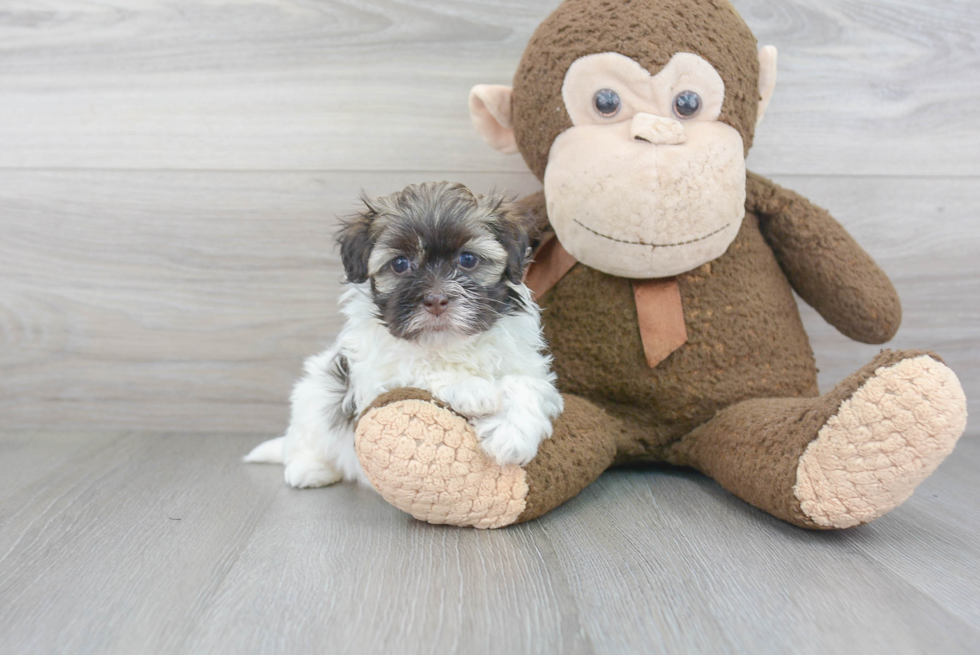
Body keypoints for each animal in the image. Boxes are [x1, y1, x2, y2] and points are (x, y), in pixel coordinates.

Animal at [245, 182, 564, 490]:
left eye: (468, 259)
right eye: (400, 264)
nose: (436, 300)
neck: (447, 343)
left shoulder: (528, 364)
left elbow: (524, 383)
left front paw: (511, 434)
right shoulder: (374, 377)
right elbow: (417, 366)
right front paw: (473, 389)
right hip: (316, 393)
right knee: (306, 438)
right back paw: (310, 470)